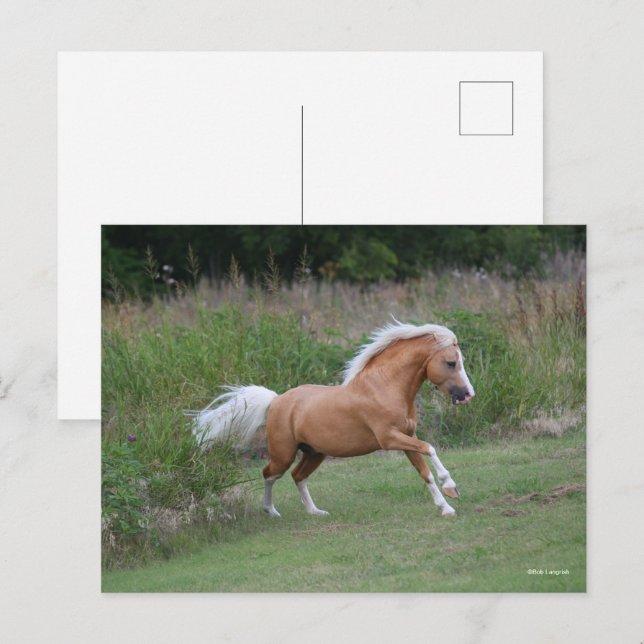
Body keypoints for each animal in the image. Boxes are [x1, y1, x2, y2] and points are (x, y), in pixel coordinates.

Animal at [193, 320, 475, 518]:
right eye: (451, 363)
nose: (468, 395)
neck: (383, 387)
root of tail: (276, 400)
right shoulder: (390, 439)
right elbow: (430, 448)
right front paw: (451, 487)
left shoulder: (407, 438)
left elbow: (424, 472)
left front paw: (446, 506)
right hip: (283, 453)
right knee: (269, 474)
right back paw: (271, 511)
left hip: (314, 453)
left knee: (297, 476)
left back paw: (315, 512)